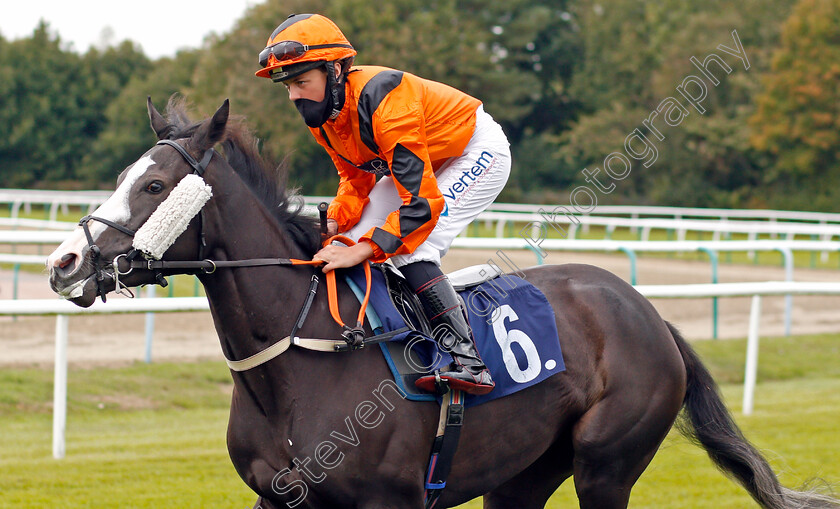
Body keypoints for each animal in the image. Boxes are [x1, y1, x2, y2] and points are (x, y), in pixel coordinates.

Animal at [47, 99, 840, 508]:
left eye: (154, 187)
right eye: (123, 176)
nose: (63, 264)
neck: (301, 358)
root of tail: (648, 313)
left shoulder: (388, 505)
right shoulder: (277, 500)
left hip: (608, 462)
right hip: (522, 477)